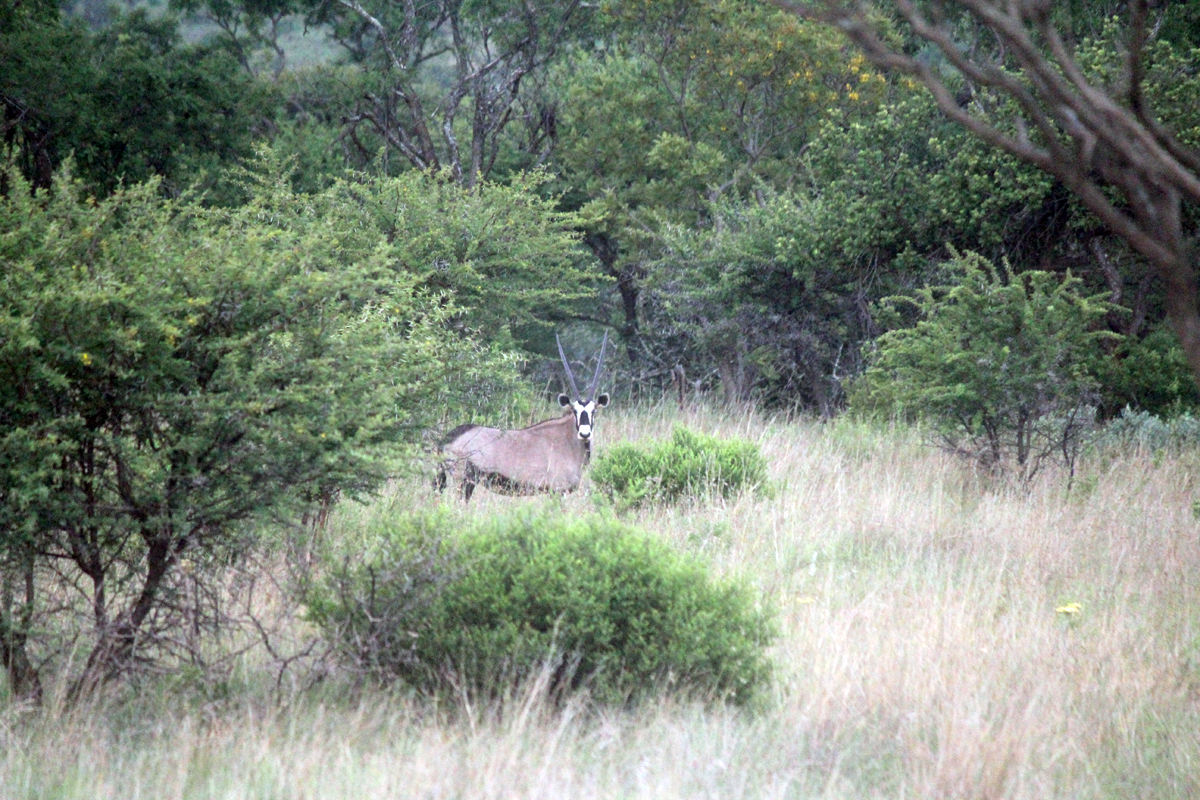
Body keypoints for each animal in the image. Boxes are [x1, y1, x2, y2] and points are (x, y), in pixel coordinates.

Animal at [436, 331, 609, 501]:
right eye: (575, 411)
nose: (584, 433)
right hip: (464, 481)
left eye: (593, 411)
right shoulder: (557, 491)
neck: (568, 440)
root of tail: (449, 437)